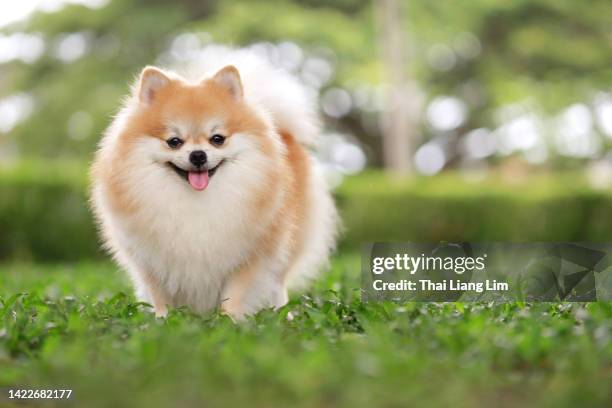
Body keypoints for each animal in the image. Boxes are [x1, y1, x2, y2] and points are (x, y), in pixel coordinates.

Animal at [91, 45, 338, 318]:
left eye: (217, 139)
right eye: (174, 141)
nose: (198, 155)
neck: (197, 203)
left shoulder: (249, 256)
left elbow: (236, 294)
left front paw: (229, 320)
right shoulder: (152, 261)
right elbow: (160, 297)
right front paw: (163, 320)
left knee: (277, 283)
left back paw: (284, 314)